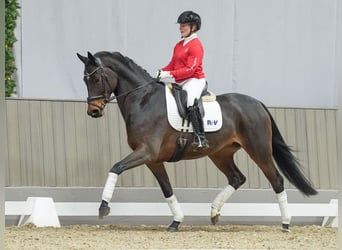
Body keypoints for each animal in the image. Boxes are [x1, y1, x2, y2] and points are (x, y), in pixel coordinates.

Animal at [76, 50, 316, 232]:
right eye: (85, 80)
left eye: (96, 78)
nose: (93, 111)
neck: (143, 100)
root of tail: (257, 103)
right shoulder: (153, 160)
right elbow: (167, 190)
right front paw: (176, 221)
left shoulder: (146, 152)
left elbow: (116, 167)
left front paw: (103, 207)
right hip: (220, 154)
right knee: (237, 178)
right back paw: (214, 212)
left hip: (258, 149)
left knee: (276, 180)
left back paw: (285, 224)